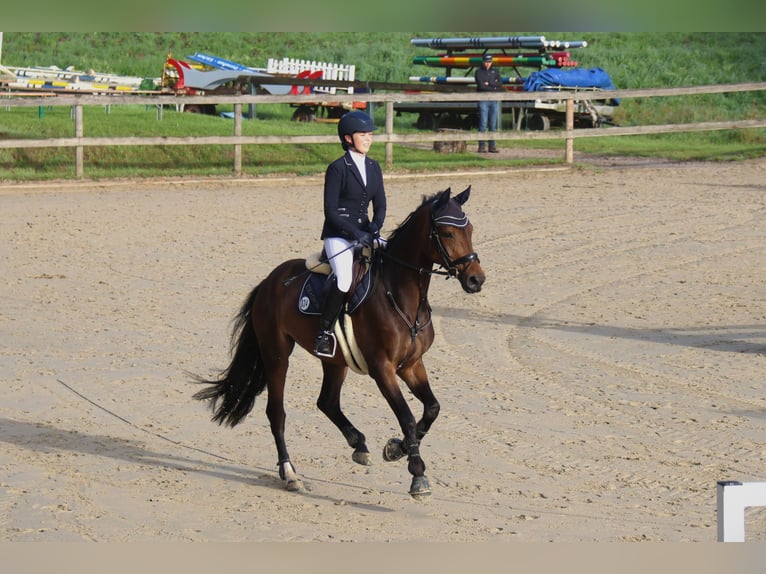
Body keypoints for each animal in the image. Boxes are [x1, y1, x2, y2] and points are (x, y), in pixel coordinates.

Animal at [195, 186, 488, 500]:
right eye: (447, 233)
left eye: (470, 229)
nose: (476, 279)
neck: (400, 294)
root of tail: (270, 280)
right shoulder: (382, 369)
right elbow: (407, 416)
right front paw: (417, 474)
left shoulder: (411, 365)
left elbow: (432, 408)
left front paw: (396, 449)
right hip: (276, 353)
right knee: (277, 412)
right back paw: (290, 473)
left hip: (335, 361)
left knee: (327, 401)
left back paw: (358, 444)